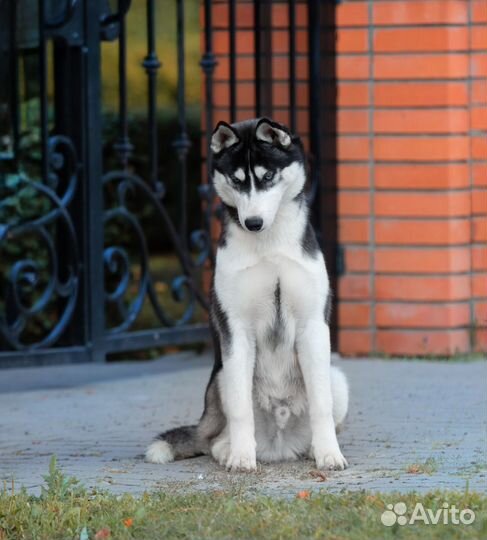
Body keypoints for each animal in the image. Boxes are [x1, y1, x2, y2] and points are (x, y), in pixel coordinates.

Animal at [147, 117, 348, 468]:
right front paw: (241, 457)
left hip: (337, 377)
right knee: (216, 437)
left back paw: (312, 448)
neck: (269, 246)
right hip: (222, 378)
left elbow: (321, 405)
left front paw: (328, 454)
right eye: (237, 180)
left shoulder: (313, 325)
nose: (253, 222)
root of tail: (280, 447)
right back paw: (230, 449)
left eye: (268, 176)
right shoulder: (236, 330)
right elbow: (241, 411)